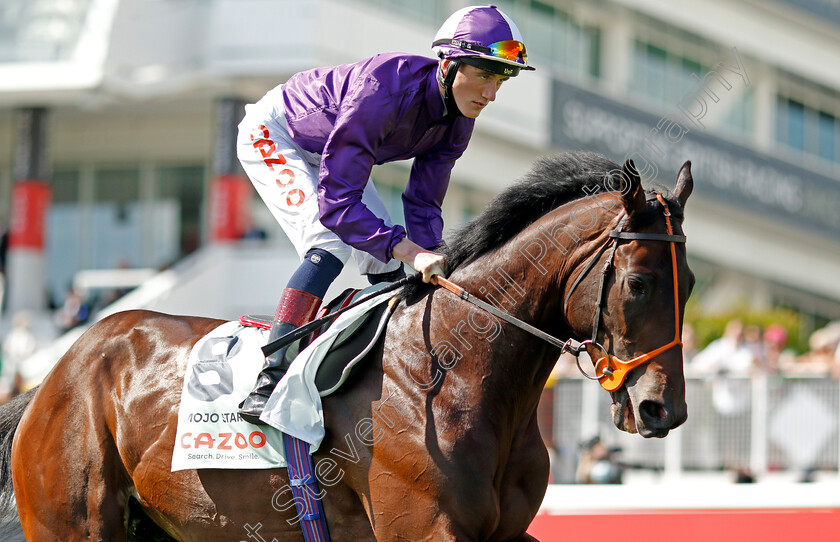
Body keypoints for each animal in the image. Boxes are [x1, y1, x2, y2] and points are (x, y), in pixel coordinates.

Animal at [0, 151, 692, 540]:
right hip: (73, 524)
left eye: (690, 284)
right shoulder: (424, 531)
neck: (457, 373)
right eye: (638, 283)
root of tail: (56, 372)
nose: (663, 409)